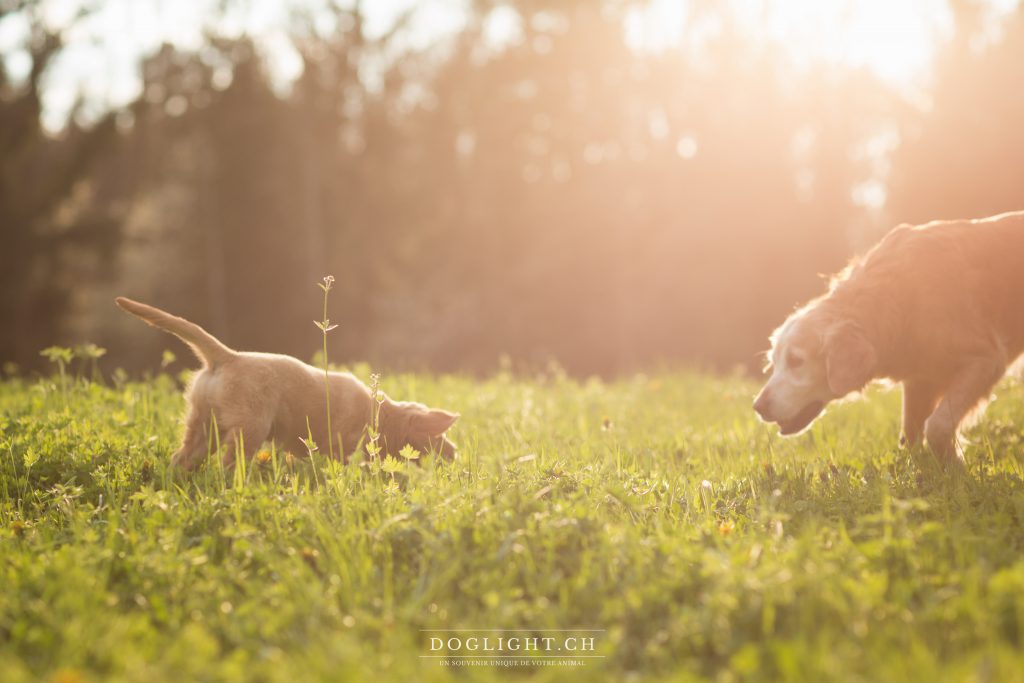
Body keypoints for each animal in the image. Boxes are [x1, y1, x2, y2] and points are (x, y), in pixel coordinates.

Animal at [116, 296, 460, 471]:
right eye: (438, 436)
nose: (456, 454)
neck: (380, 414)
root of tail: (227, 357)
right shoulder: (344, 448)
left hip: (203, 429)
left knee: (181, 459)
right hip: (248, 430)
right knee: (228, 465)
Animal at [753, 210, 1024, 462]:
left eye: (795, 361)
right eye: (773, 363)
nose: (758, 406)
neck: (898, 296)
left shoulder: (986, 360)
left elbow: (937, 426)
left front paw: (955, 466)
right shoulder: (919, 379)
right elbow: (911, 432)